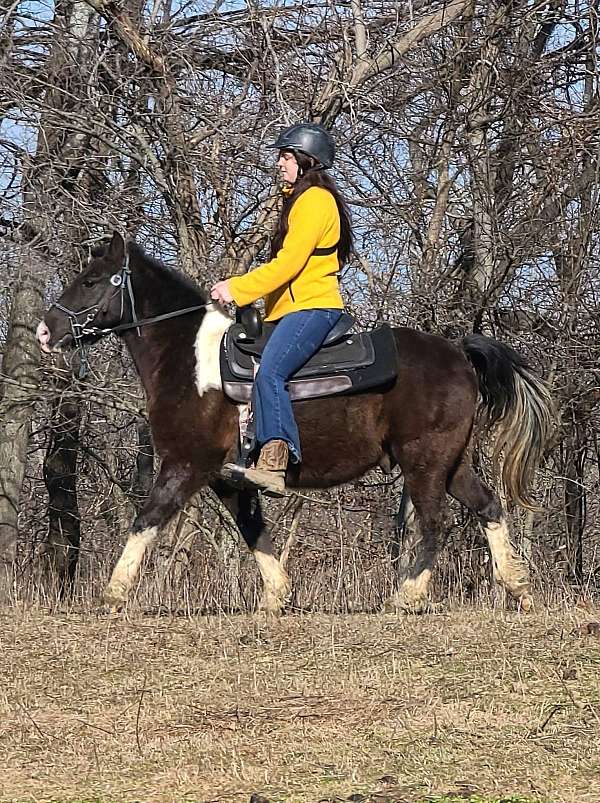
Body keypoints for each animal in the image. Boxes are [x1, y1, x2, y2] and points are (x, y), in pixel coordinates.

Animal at [36, 232, 554, 613]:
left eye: (91, 280)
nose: (45, 331)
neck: (193, 361)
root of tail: (459, 354)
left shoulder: (186, 463)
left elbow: (147, 520)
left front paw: (113, 593)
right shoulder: (226, 477)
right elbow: (252, 530)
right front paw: (277, 595)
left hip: (423, 462)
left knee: (434, 523)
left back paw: (406, 597)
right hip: (451, 462)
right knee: (488, 507)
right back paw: (519, 588)